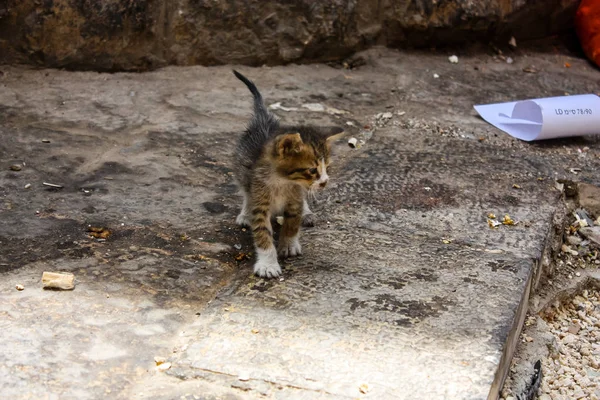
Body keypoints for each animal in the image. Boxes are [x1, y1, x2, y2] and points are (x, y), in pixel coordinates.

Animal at [232, 70, 342, 278]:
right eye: (312, 170)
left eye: (327, 167)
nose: (325, 181)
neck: (282, 181)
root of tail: (263, 120)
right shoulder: (260, 199)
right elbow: (262, 232)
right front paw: (268, 264)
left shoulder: (294, 200)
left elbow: (292, 223)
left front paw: (289, 244)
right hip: (241, 169)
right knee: (245, 191)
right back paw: (244, 213)